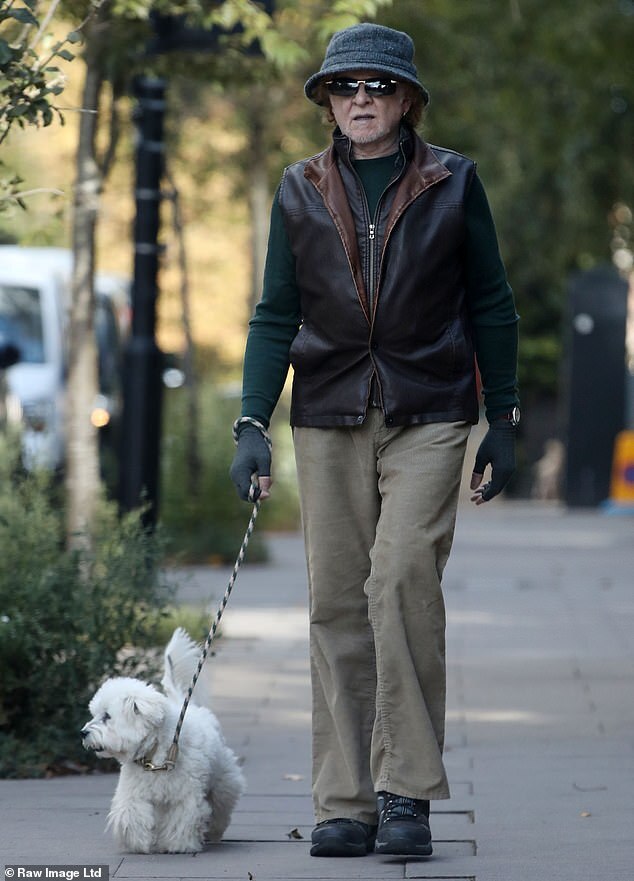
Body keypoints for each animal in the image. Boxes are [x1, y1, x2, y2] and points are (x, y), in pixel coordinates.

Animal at [81, 624, 244, 852]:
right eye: (95, 714)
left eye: (107, 716)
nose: (83, 732)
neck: (156, 753)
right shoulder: (135, 792)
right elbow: (130, 813)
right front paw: (137, 840)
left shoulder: (185, 796)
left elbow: (181, 819)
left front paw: (178, 844)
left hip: (223, 782)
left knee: (221, 805)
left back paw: (214, 832)